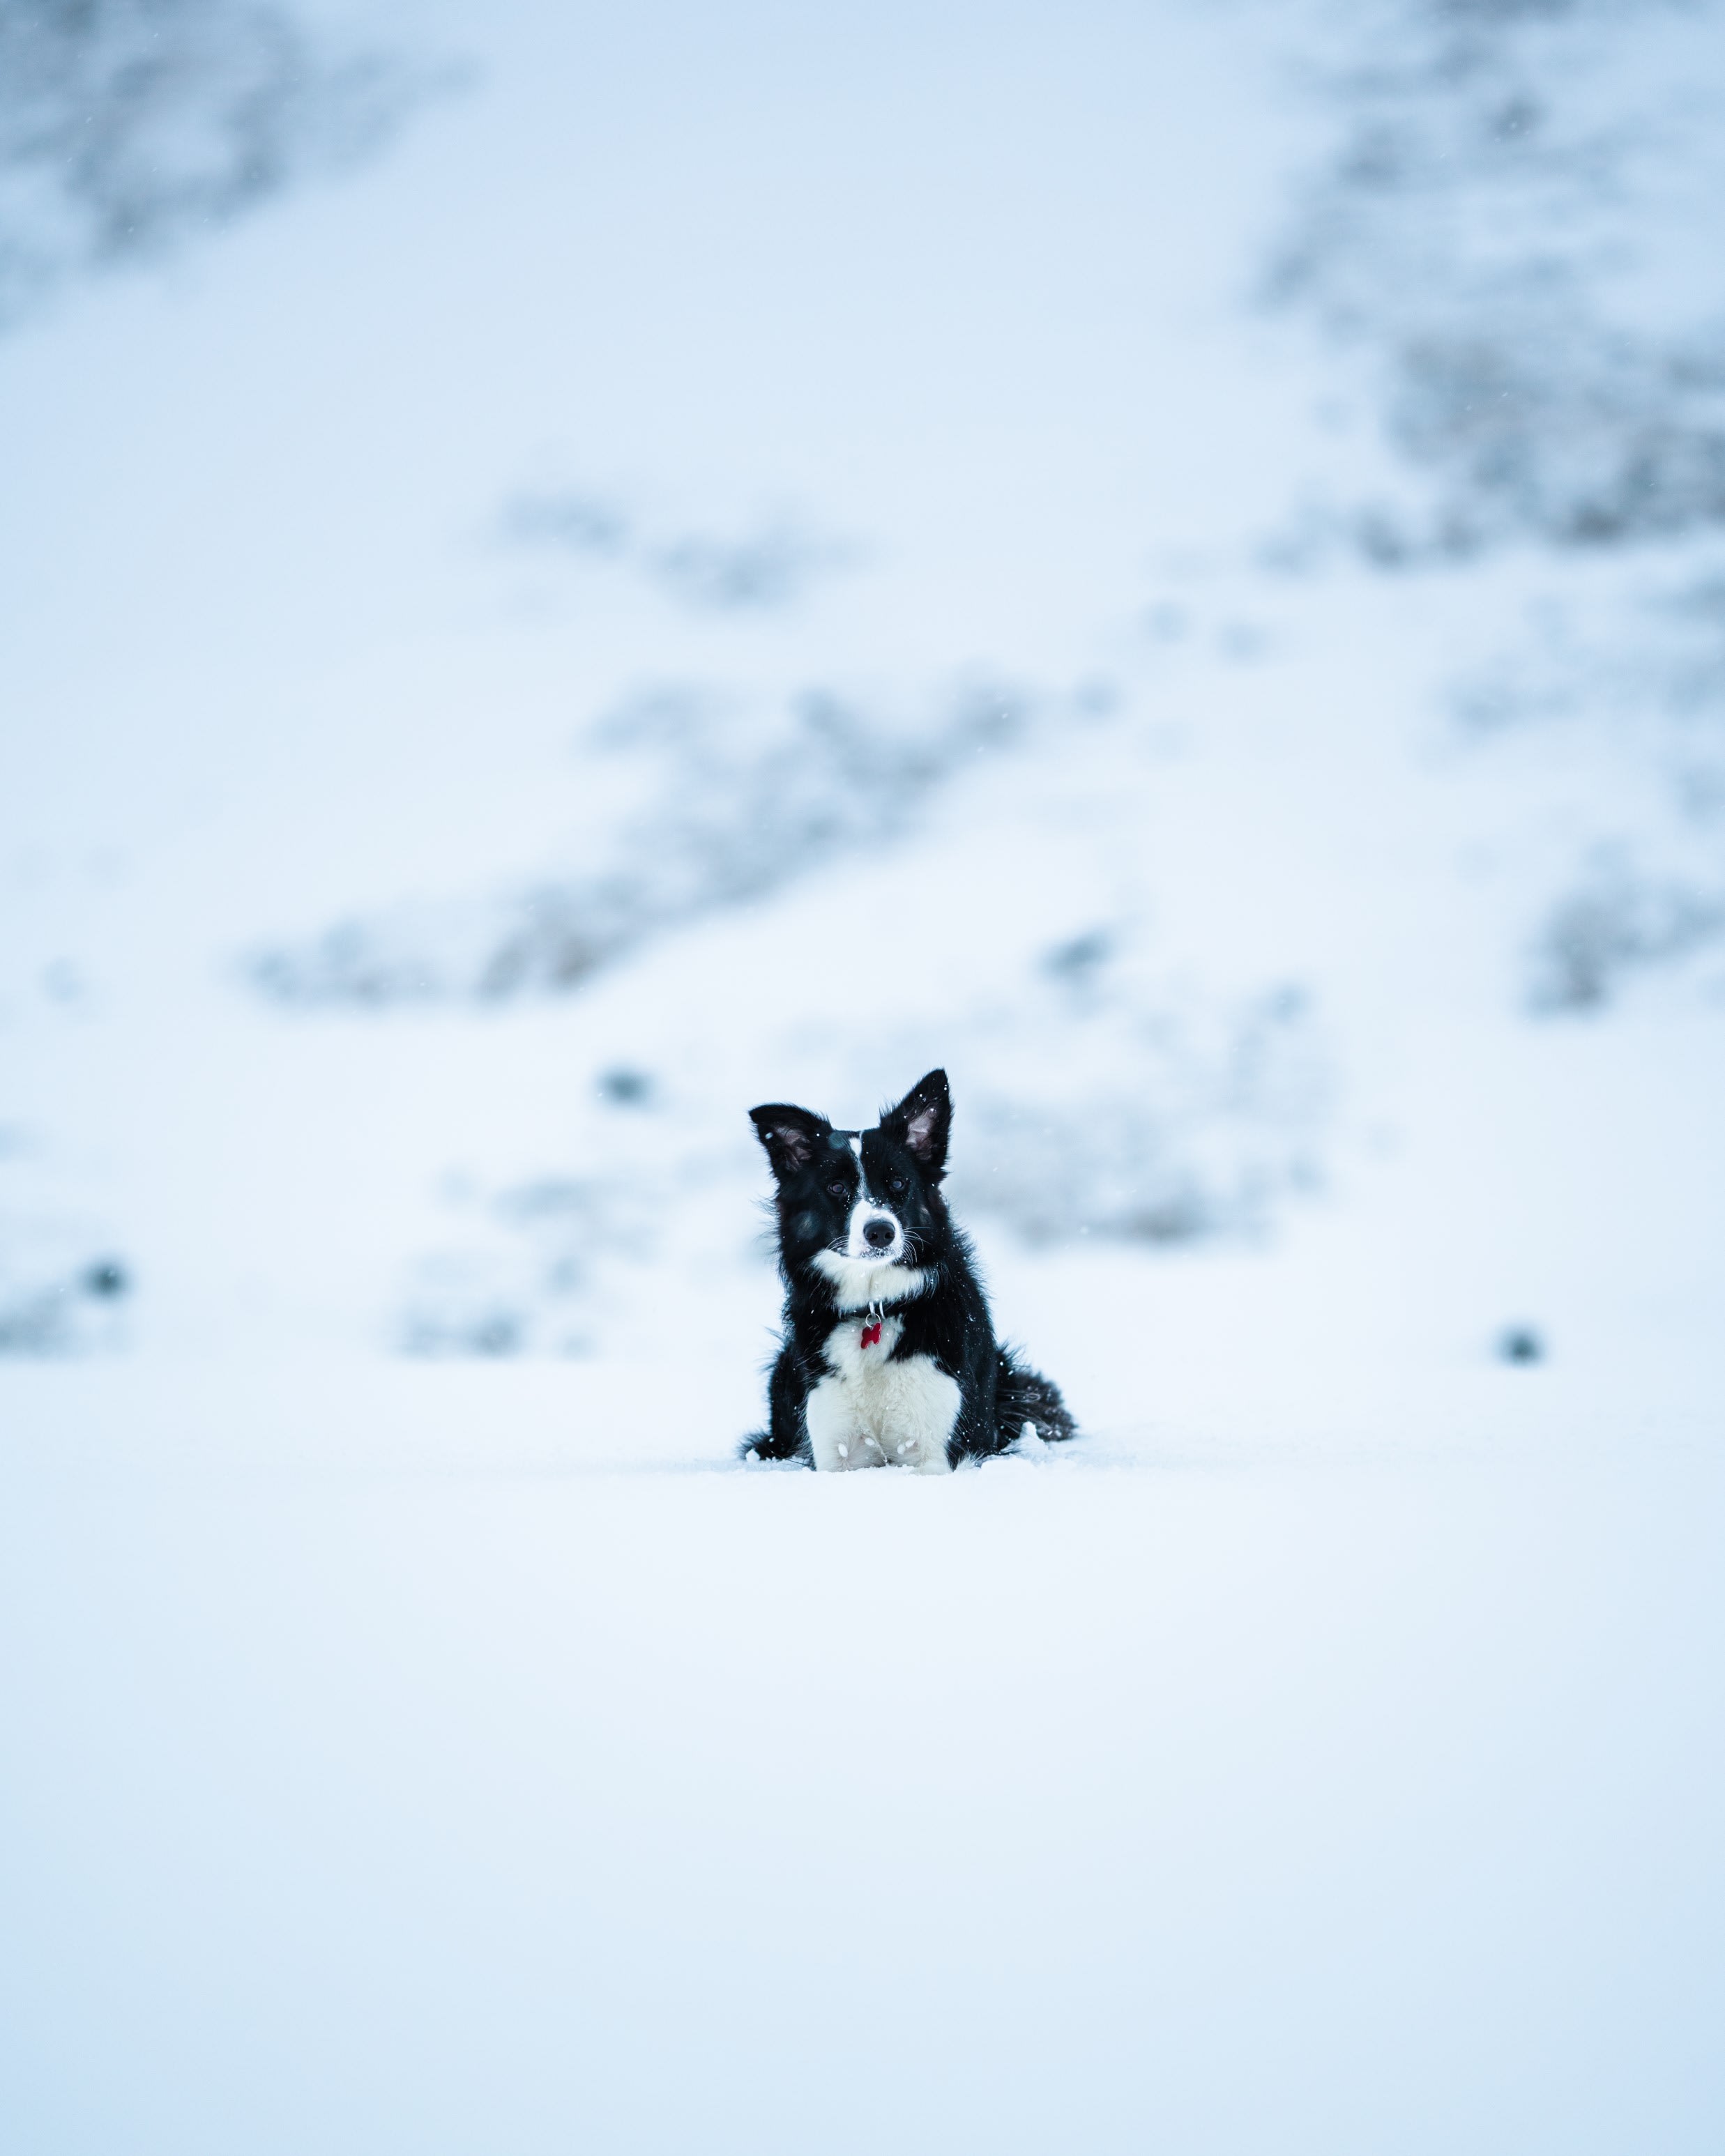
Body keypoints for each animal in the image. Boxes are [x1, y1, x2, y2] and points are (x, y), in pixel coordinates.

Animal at [746, 1069, 1078, 1474]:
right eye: (836, 1187)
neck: (874, 1308)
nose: (880, 1231)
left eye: (898, 1183)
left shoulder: (933, 1454)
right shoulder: (837, 1455)